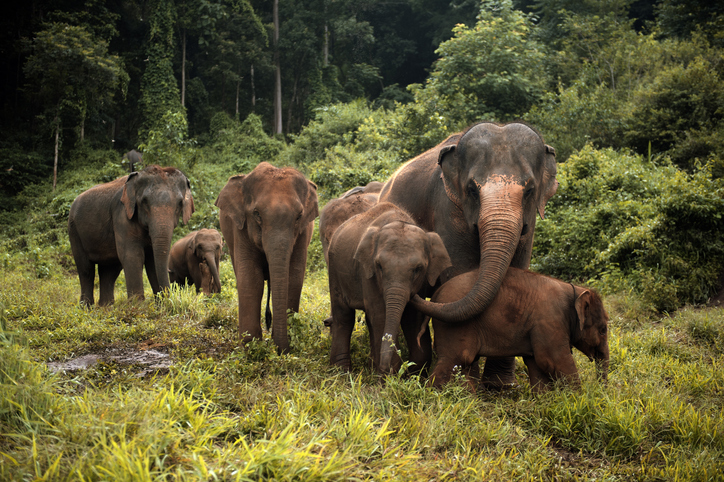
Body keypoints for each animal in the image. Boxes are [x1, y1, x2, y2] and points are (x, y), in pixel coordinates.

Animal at [68, 164, 195, 304]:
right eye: (144, 201)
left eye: (180, 203)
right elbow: (133, 255)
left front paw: (159, 305)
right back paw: (86, 307)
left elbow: (152, 260)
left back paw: (105, 307)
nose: (170, 300)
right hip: (74, 231)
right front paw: (138, 306)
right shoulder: (122, 215)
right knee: (86, 269)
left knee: (109, 270)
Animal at [214, 160, 318, 352]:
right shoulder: (241, 228)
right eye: (256, 214)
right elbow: (250, 278)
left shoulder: (303, 232)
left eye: (299, 216)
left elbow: (294, 277)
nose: (282, 350)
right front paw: (250, 348)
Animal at [330, 201, 452, 374]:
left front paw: (414, 373)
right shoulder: (367, 272)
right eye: (379, 266)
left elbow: (412, 317)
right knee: (344, 316)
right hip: (334, 269)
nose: (383, 367)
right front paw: (389, 374)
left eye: (418, 269)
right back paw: (341, 371)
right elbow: (380, 314)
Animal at [378, 121, 560, 388]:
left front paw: (500, 387)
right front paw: (463, 386)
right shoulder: (448, 209)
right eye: (472, 190)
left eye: (529, 191)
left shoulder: (529, 226)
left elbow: (517, 271)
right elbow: (460, 274)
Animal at [430, 268, 612, 392]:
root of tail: (435, 294)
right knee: (456, 359)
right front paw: (580, 399)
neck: (574, 291)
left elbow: (537, 365)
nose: (601, 393)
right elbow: (555, 360)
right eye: (603, 330)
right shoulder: (549, 320)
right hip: (454, 327)